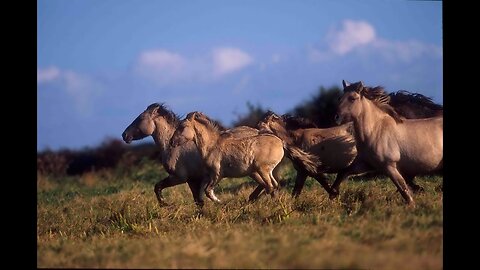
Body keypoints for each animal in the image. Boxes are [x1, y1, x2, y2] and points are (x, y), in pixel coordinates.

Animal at [122, 104, 260, 207]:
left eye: (140, 119)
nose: (124, 135)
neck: (173, 146)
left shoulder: (180, 178)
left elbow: (158, 187)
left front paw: (165, 204)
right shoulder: (193, 180)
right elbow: (198, 201)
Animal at [170, 110, 322, 201]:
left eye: (182, 127)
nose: (172, 142)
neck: (212, 146)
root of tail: (281, 142)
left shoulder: (217, 174)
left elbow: (208, 191)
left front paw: (220, 202)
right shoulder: (210, 175)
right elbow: (204, 191)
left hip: (262, 170)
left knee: (270, 186)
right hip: (265, 171)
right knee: (273, 186)